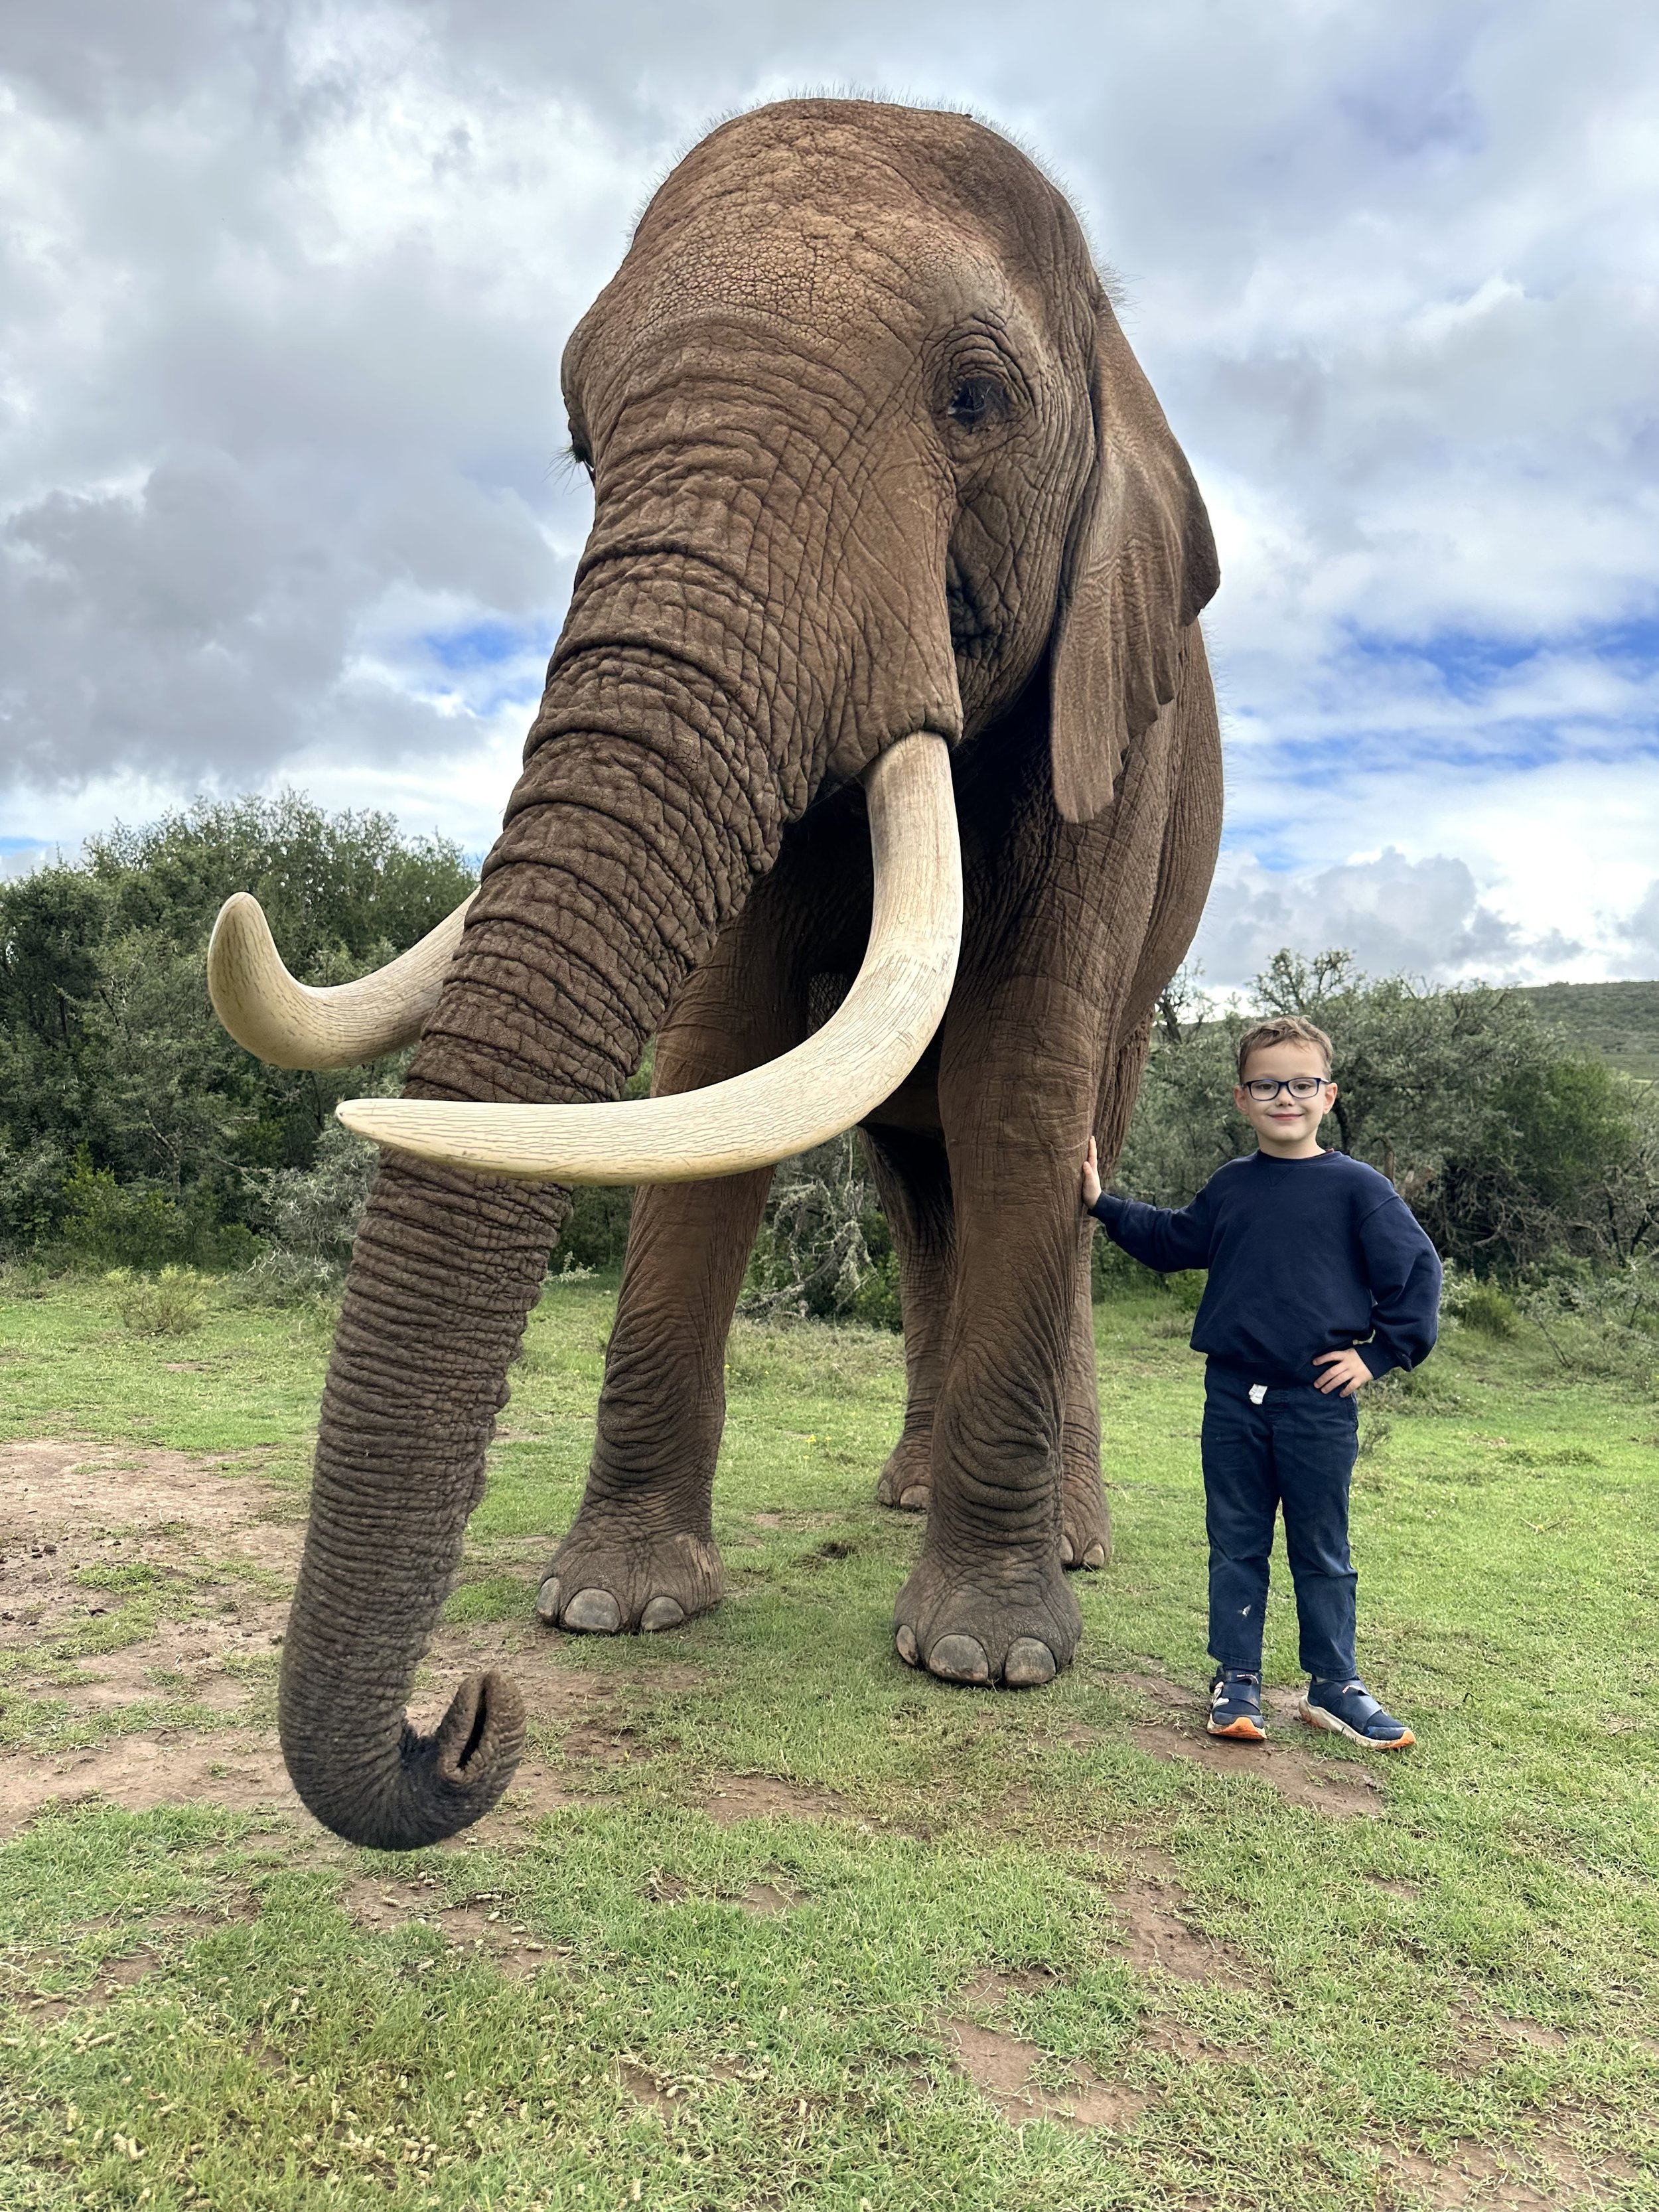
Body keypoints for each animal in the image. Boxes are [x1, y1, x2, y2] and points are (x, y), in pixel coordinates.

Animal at [207, 97, 1222, 1852]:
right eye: (576, 438)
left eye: (976, 402)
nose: (466, 1720)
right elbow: (713, 1063)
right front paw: (607, 1608)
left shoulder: (1112, 727)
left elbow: (1021, 1086)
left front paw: (988, 1657)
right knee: (914, 1178)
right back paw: (903, 1491)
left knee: (1055, 1137)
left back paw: (1056, 1542)